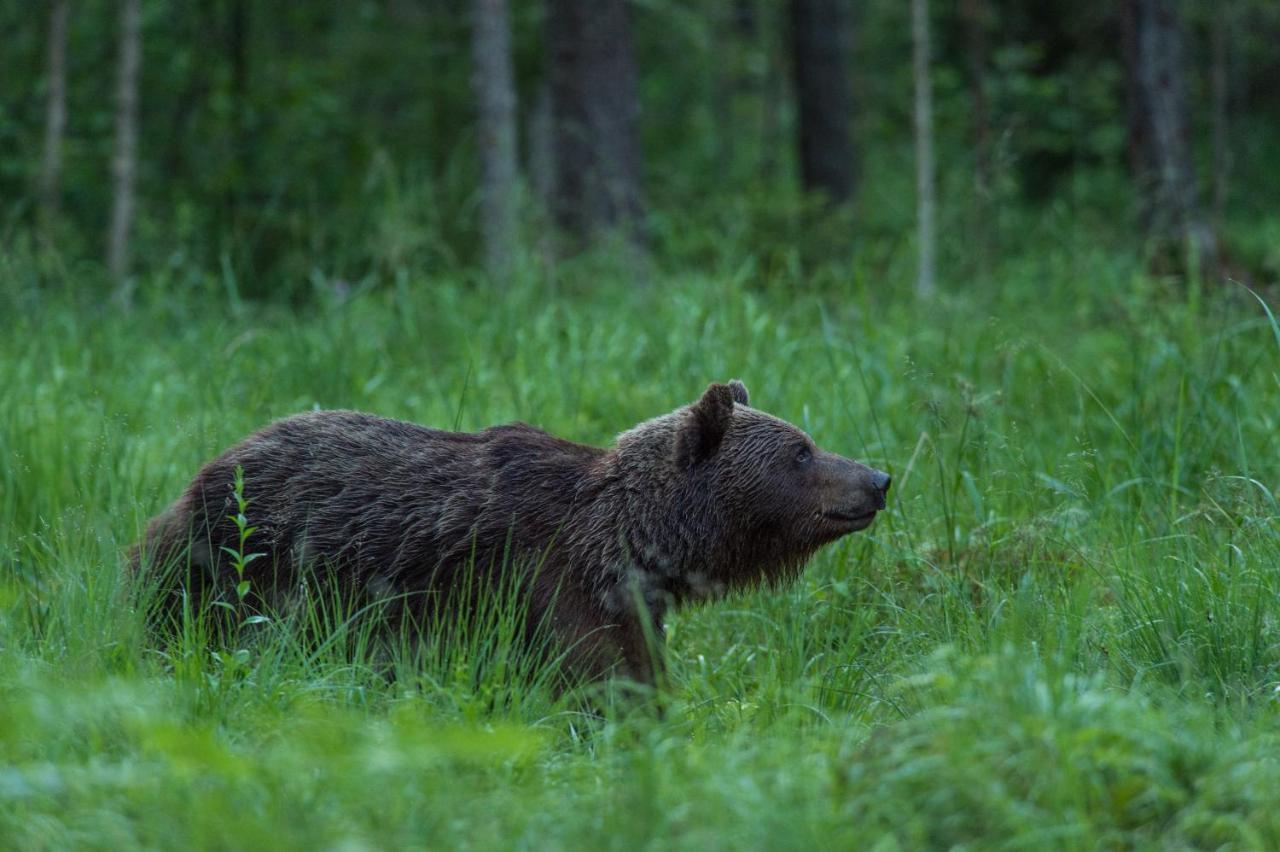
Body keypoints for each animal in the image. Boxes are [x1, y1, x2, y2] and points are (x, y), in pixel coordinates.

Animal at [132, 381, 890, 685]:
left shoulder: (629, 602)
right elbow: (595, 679)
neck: (634, 540)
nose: (879, 477)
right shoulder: (547, 583)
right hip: (240, 564)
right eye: (801, 451)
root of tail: (203, 470)